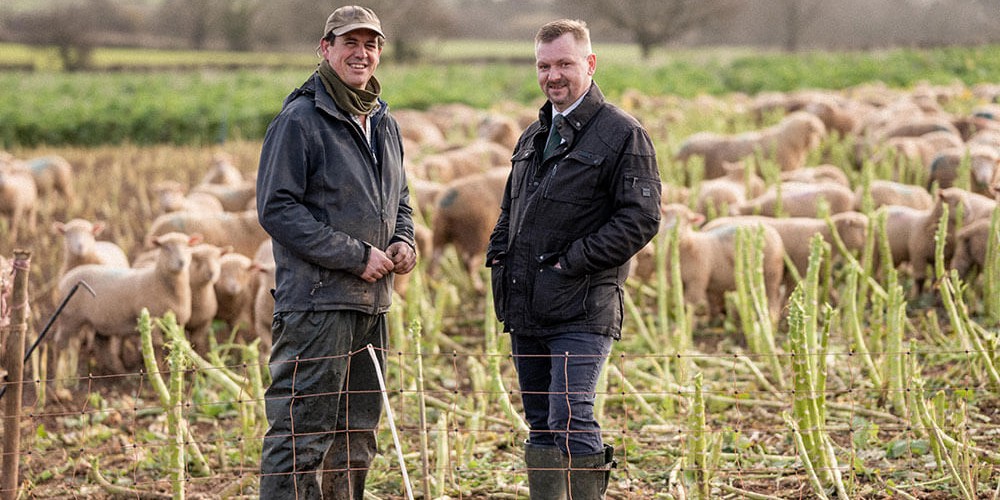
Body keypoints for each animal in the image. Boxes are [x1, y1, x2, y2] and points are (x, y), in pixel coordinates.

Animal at [54, 232, 199, 374]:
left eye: (188, 247)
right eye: (166, 248)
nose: (181, 262)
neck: (158, 280)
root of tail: (65, 278)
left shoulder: (178, 324)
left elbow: (176, 345)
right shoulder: (153, 321)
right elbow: (156, 347)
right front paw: (158, 371)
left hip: (97, 321)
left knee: (101, 344)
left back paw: (114, 371)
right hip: (70, 318)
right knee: (61, 343)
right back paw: (62, 373)